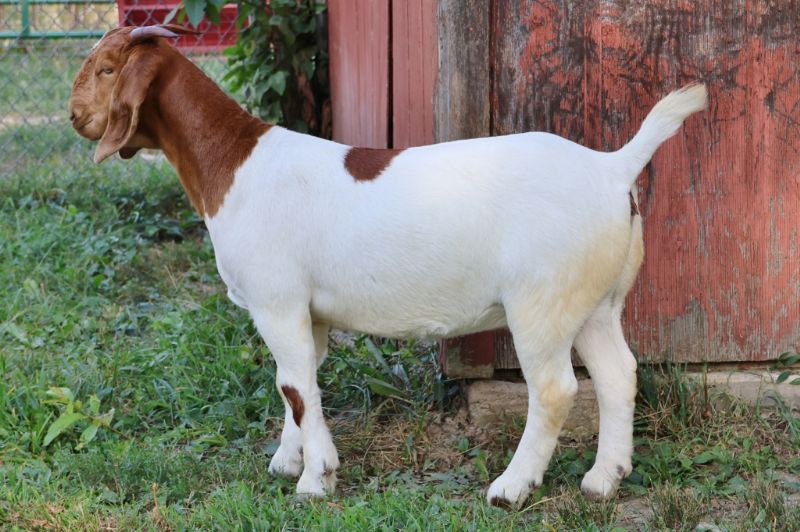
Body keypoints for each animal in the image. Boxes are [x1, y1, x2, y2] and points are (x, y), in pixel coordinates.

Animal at [69, 24, 707, 507]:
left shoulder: (276, 302)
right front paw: (289, 461)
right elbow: (298, 382)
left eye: (106, 70)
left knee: (553, 389)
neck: (233, 161)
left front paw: (314, 480)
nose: (74, 116)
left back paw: (511, 487)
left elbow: (293, 386)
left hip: (542, 301)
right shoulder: (307, 314)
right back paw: (603, 480)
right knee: (618, 373)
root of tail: (612, 167)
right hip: (597, 299)